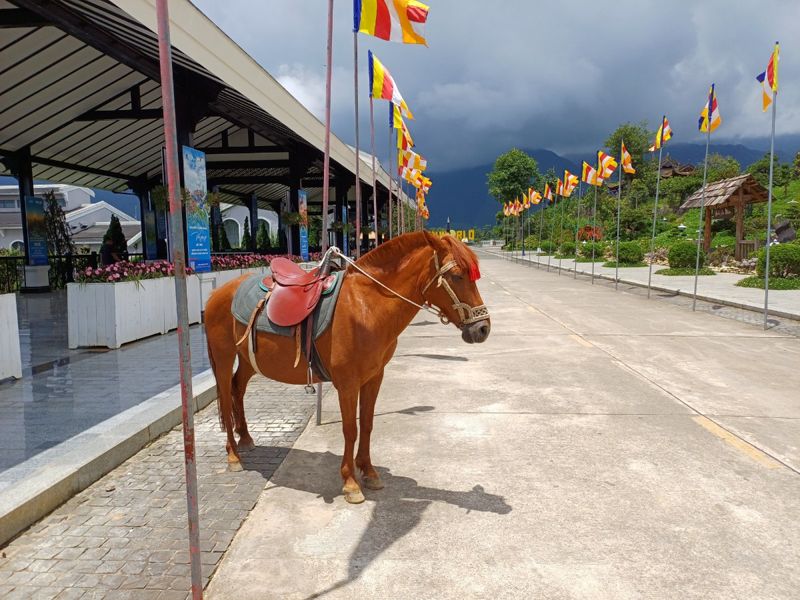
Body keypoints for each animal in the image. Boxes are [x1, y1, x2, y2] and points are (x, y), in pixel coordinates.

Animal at [203, 232, 490, 504]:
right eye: (456, 276)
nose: (482, 329)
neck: (367, 307)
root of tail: (216, 294)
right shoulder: (347, 383)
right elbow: (350, 429)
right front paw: (351, 482)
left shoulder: (374, 377)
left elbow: (367, 424)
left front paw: (369, 471)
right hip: (224, 357)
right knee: (226, 400)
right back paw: (233, 456)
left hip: (248, 360)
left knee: (237, 389)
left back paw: (246, 438)